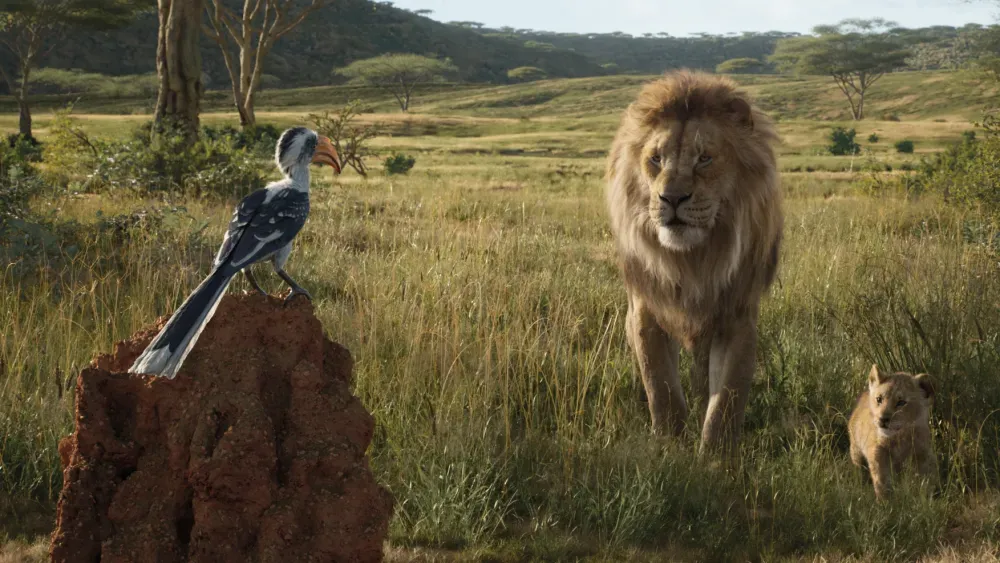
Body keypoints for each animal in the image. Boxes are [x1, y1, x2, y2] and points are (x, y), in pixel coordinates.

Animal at [605, 70, 783, 457]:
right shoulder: (646, 309)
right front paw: (669, 447)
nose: (671, 198)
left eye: (704, 158)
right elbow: (661, 387)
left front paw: (716, 458)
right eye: (656, 159)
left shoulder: (738, 316)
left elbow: (727, 400)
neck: (693, 260)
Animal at [848, 364, 937, 500]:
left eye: (901, 402)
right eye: (879, 399)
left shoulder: (922, 453)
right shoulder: (877, 452)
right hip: (856, 450)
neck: (900, 437)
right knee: (860, 470)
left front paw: (926, 498)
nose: (883, 419)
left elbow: (925, 479)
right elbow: (881, 480)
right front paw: (885, 501)